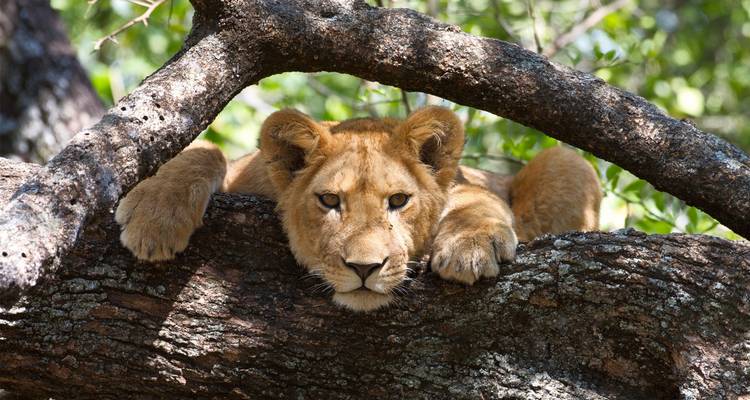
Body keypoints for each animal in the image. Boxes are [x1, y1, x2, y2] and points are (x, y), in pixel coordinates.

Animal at [115, 107, 601, 311]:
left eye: (399, 201)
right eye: (330, 201)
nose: (365, 268)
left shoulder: (467, 185)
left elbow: (476, 199)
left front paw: (470, 247)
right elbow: (205, 150)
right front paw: (154, 219)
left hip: (569, 162)